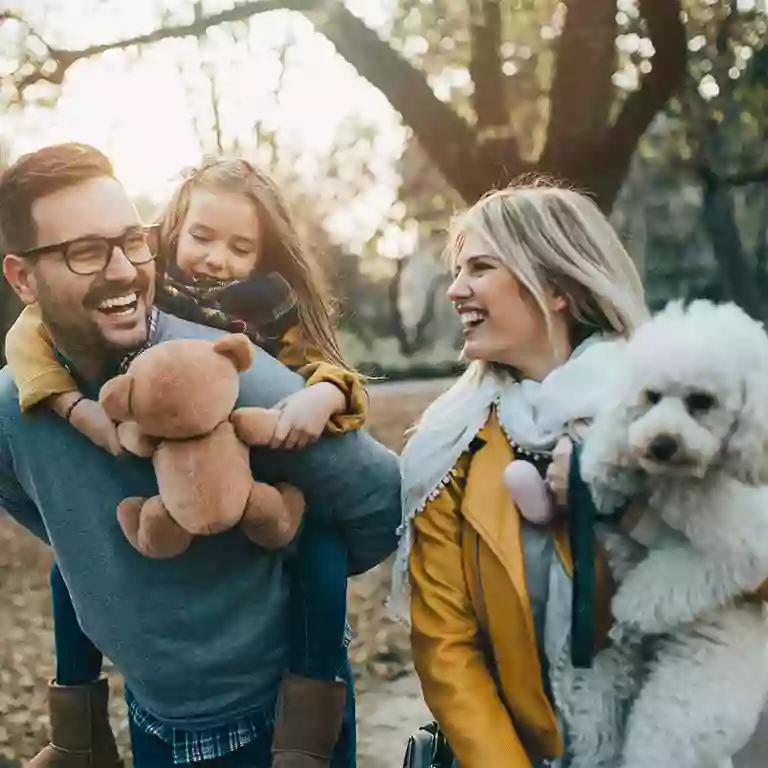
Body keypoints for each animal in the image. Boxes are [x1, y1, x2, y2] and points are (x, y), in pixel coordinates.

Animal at [560, 300, 768, 768]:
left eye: (701, 401)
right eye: (650, 397)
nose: (660, 444)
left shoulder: (740, 549)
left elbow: (675, 573)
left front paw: (632, 604)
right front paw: (604, 472)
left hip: (686, 702)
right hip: (607, 670)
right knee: (597, 712)